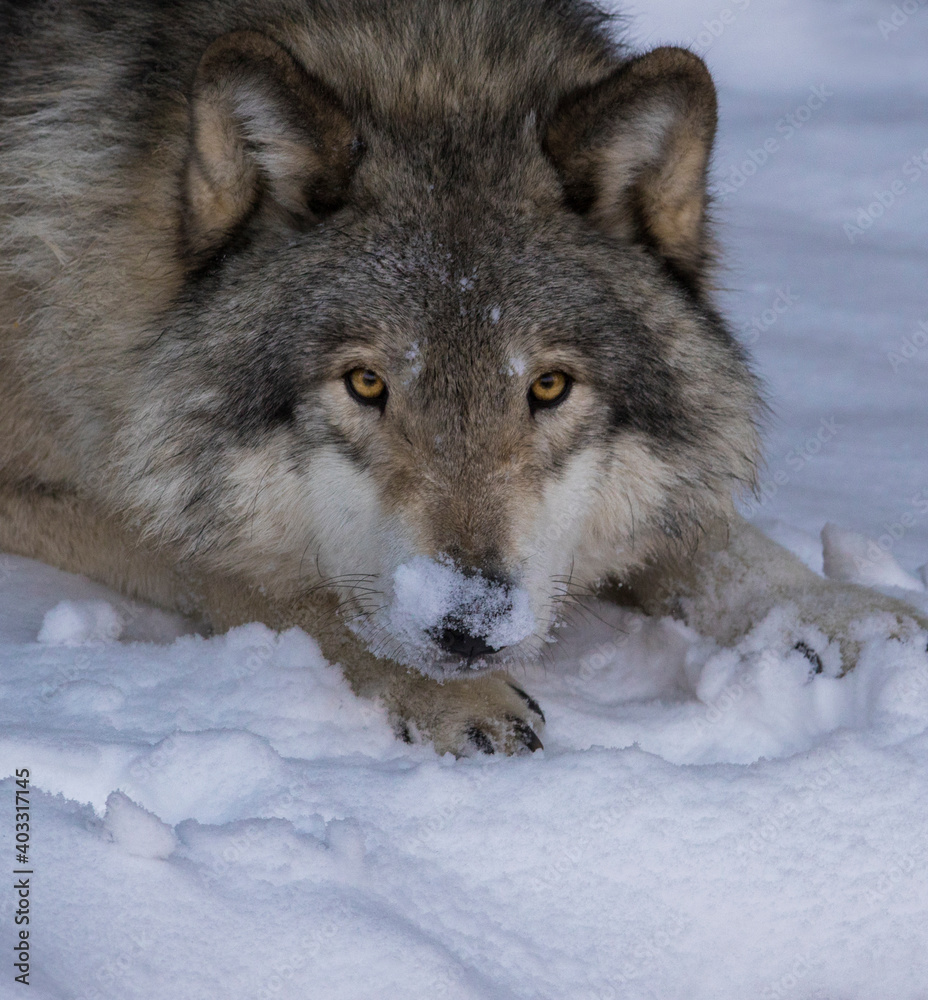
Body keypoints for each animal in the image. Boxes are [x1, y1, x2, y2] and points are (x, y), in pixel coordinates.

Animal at [1, 0, 925, 755]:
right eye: (367, 385)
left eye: (547, 388)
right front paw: (459, 698)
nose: (469, 624)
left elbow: (707, 538)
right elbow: (254, 577)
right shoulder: (51, 485)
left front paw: (847, 614)